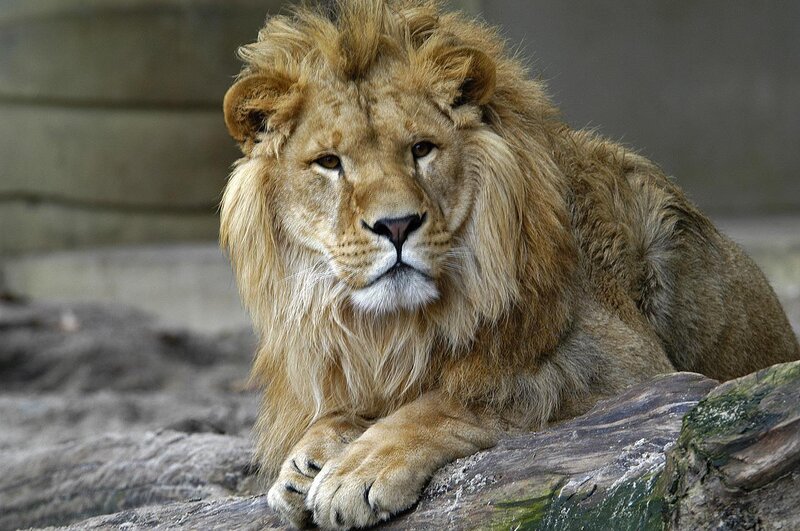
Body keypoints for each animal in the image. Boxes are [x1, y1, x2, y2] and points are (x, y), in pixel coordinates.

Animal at [219, 1, 800, 528]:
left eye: (422, 149)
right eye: (329, 163)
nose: (397, 226)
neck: (396, 325)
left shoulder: (637, 370)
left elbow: (464, 397)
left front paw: (357, 468)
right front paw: (306, 460)